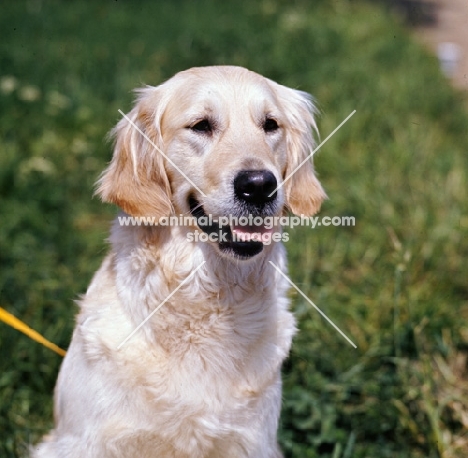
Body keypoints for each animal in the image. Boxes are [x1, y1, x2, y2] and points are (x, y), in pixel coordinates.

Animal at [33, 65, 326, 458]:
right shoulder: (83, 442)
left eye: (270, 125)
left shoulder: (251, 442)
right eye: (201, 125)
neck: (207, 298)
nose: (259, 185)